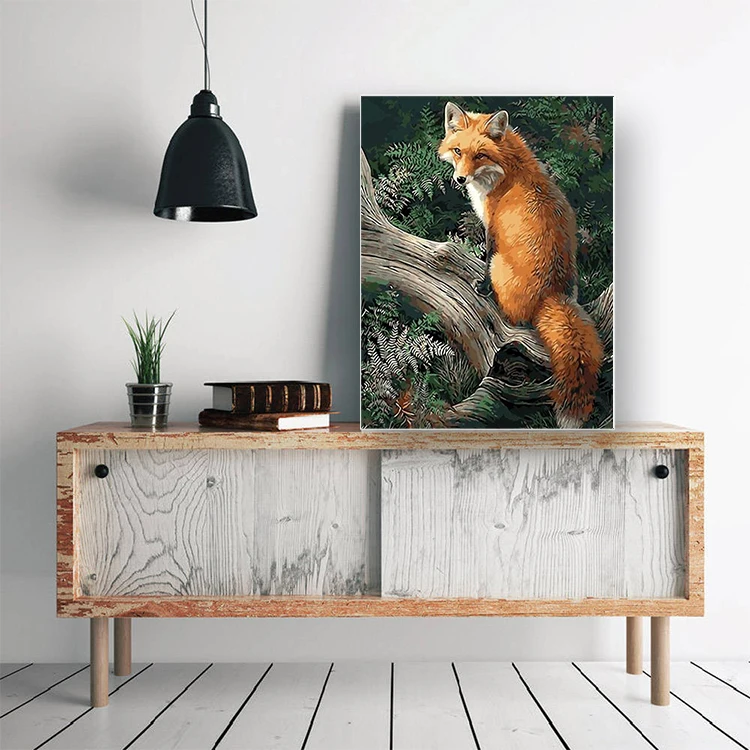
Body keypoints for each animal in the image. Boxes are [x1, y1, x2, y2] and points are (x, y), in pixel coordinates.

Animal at [438, 102, 603, 428]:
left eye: (480, 155)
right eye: (458, 151)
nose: (460, 180)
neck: (509, 169)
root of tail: (552, 295)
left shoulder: (492, 227)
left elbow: (485, 257)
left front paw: (481, 287)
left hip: (501, 266)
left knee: (513, 316)